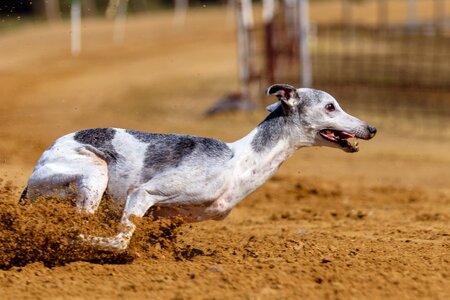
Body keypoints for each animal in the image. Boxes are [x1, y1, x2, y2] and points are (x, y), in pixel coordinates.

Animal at [19, 84, 376, 251]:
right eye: (330, 106)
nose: (371, 128)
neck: (238, 162)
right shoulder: (143, 193)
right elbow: (120, 239)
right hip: (94, 171)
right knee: (79, 222)